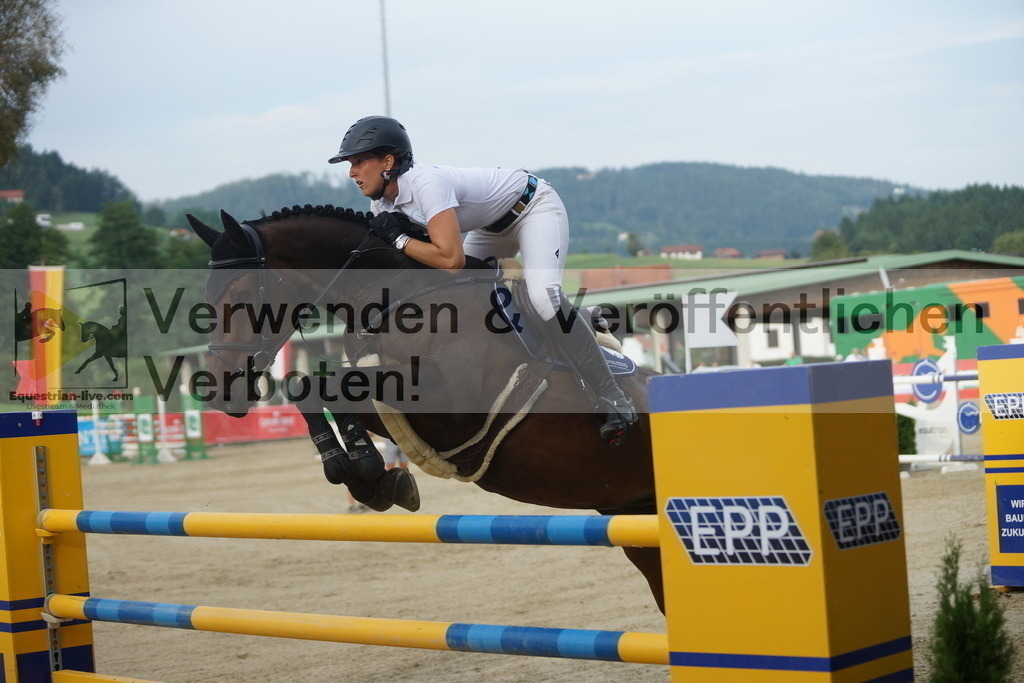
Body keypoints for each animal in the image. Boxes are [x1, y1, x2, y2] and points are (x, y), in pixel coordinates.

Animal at [186, 205, 663, 610]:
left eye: (241, 293)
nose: (220, 391)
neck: (394, 297)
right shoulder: (395, 406)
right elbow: (311, 387)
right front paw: (367, 479)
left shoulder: (448, 397)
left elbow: (331, 386)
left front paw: (369, 473)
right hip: (634, 517)